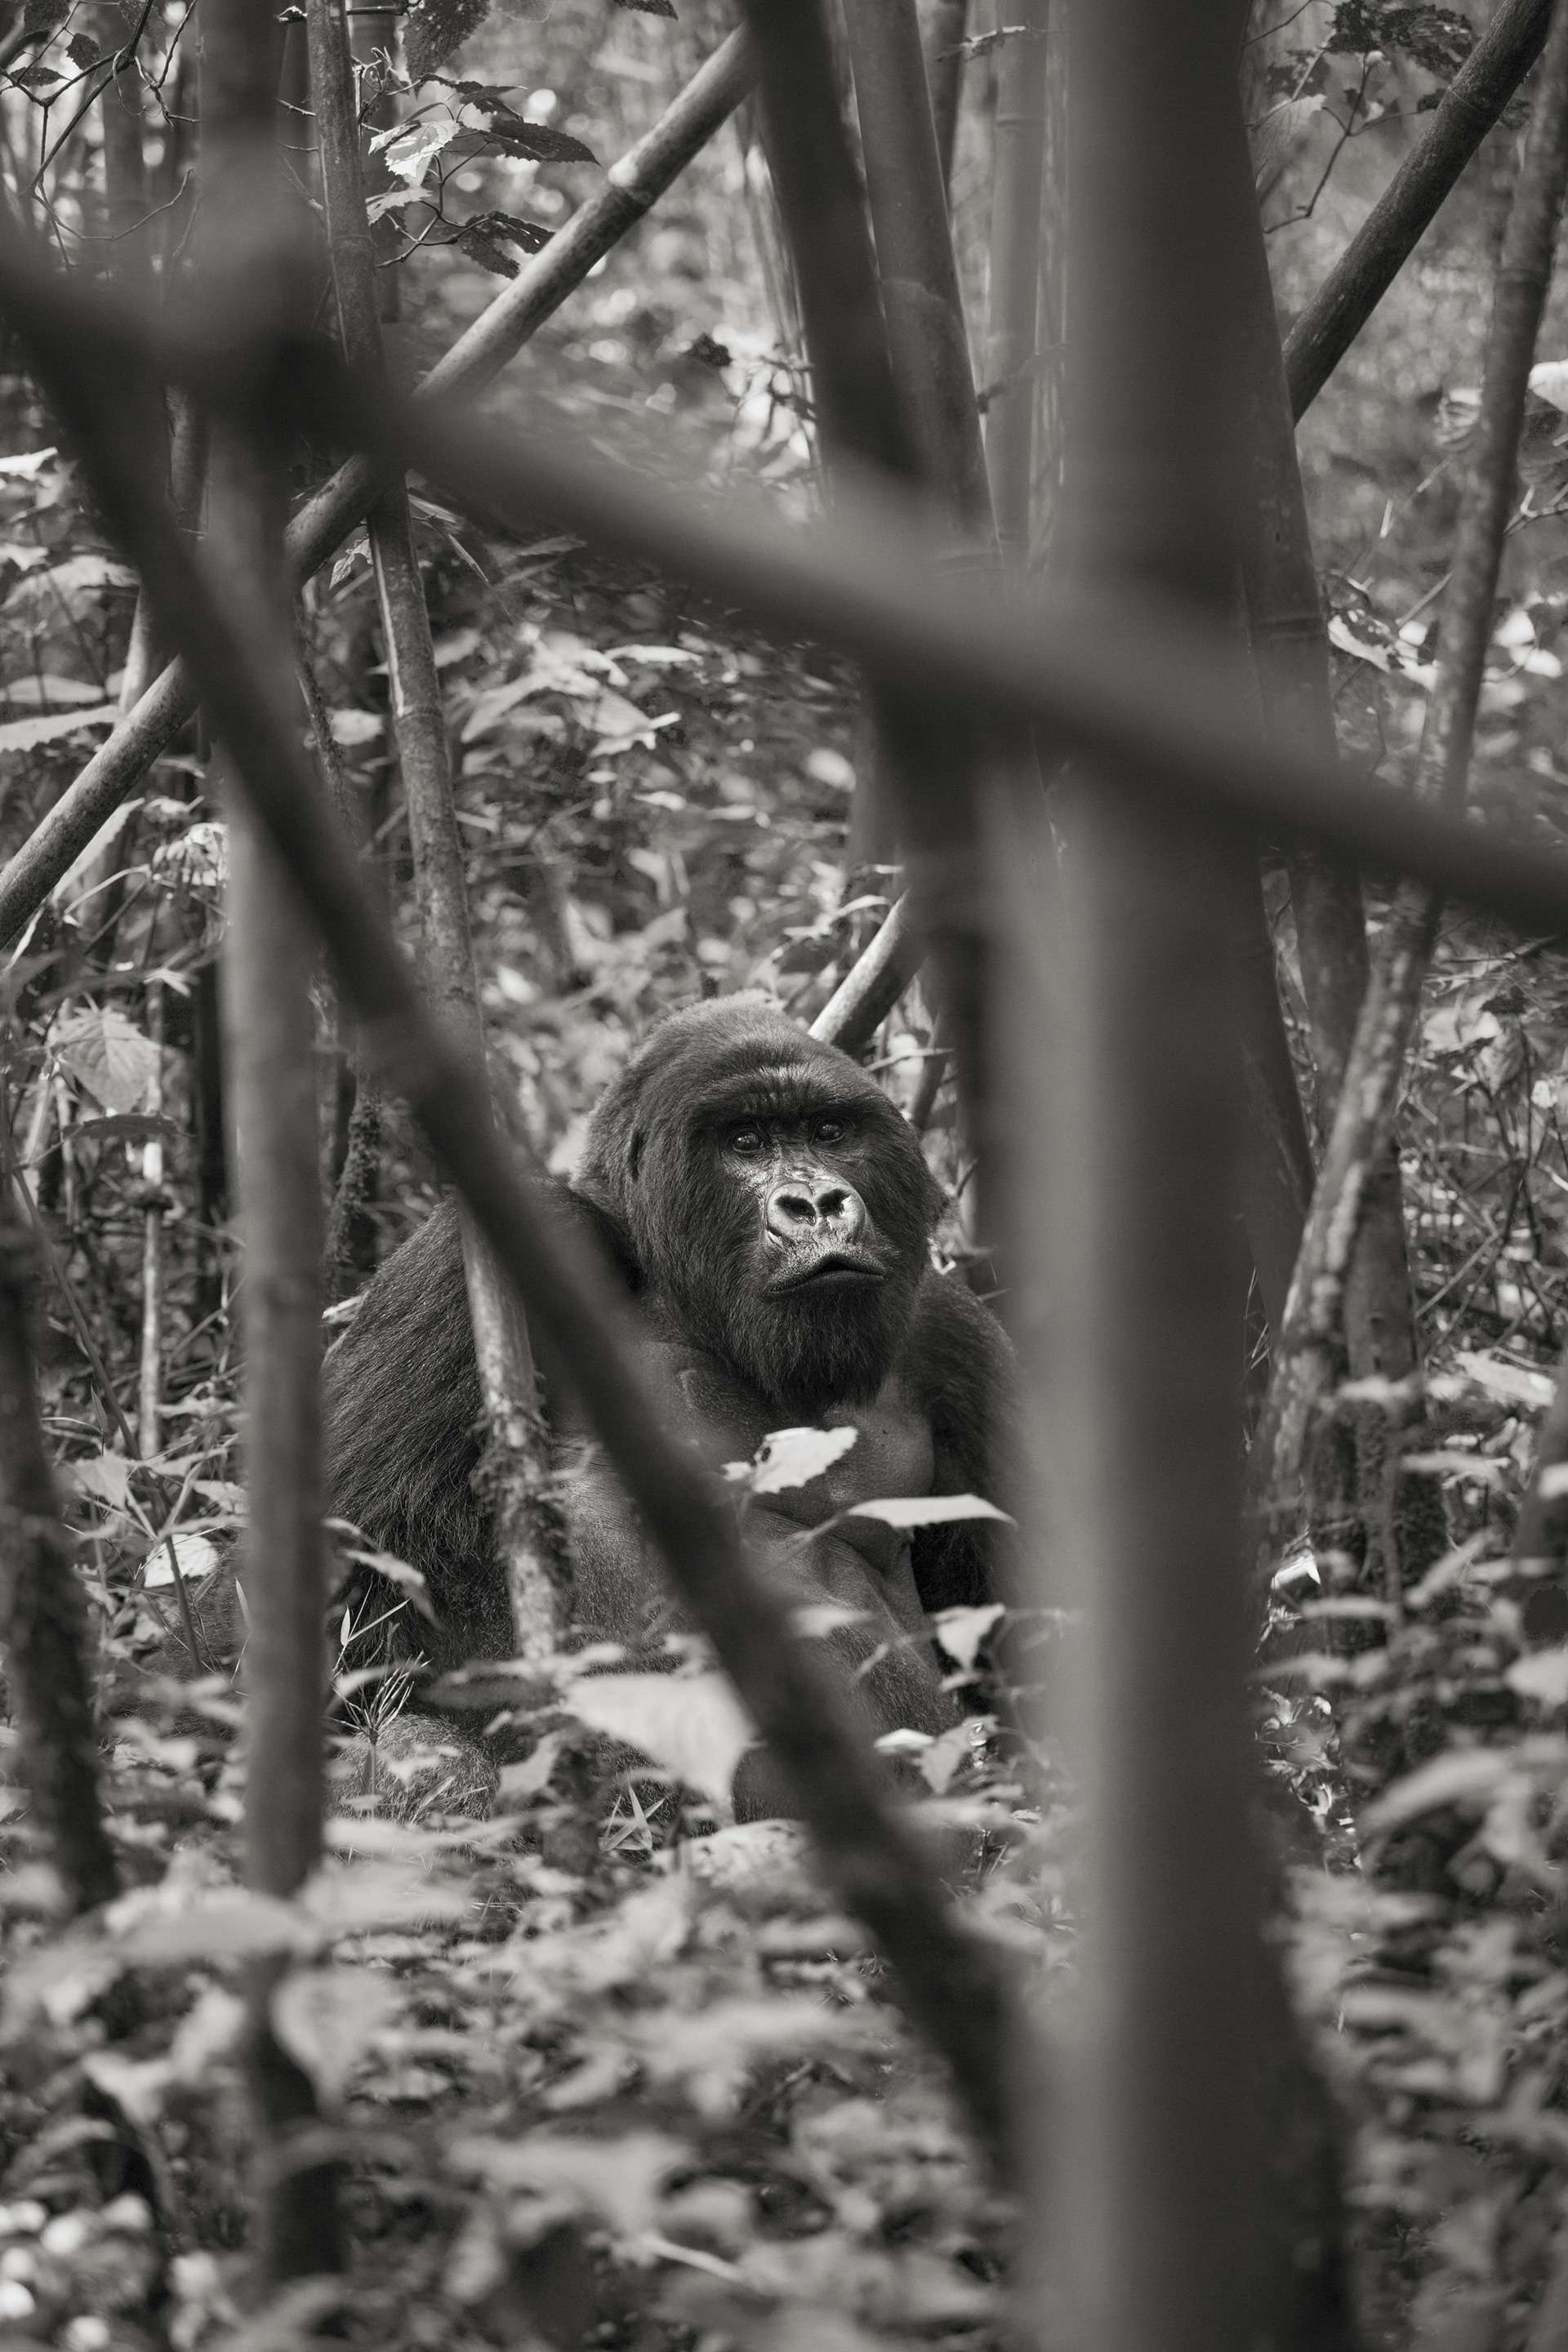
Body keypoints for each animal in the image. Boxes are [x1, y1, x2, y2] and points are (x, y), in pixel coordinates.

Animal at [324, 992, 1010, 1815]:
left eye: (830, 1133)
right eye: (745, 1142)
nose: (816, 1204)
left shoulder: (954, 1336)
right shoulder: (485, 1248)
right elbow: (356, 1577)